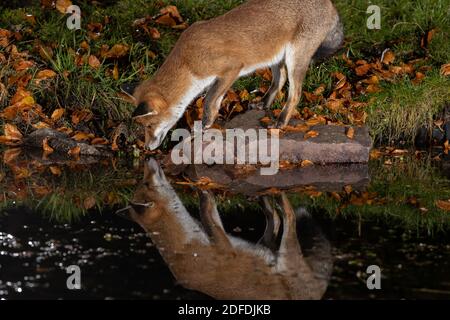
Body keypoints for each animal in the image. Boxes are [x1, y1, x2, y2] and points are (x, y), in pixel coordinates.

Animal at [130, 0, 344, 150]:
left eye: (148, 126)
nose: (146, 147)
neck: (188, 61)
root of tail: (330, 4)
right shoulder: (217, 79)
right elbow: (213, 101)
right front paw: (206, 124)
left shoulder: (231, 69)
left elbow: (209, 101)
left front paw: (201, 128)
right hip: (275, 58)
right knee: (280, 79)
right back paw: (264, 103)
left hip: (295, 59)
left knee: (295, 94)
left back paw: (281, 121)